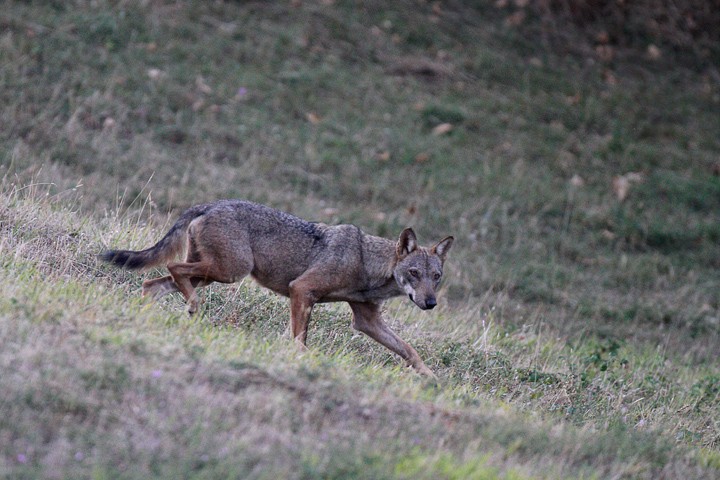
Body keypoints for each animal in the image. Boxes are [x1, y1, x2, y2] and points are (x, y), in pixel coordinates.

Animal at [101, 201, 452, 376]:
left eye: (436, 277)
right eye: (414, 273)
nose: (430, 303)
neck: (366, 262)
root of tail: (211, 204)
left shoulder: (366, 320)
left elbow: (410, 350)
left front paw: (432, 379)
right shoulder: (302, 290)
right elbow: (299, 341)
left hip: (213, 274)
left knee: (151, 283)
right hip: (230, 272)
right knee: (172, 269)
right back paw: (192, 307)